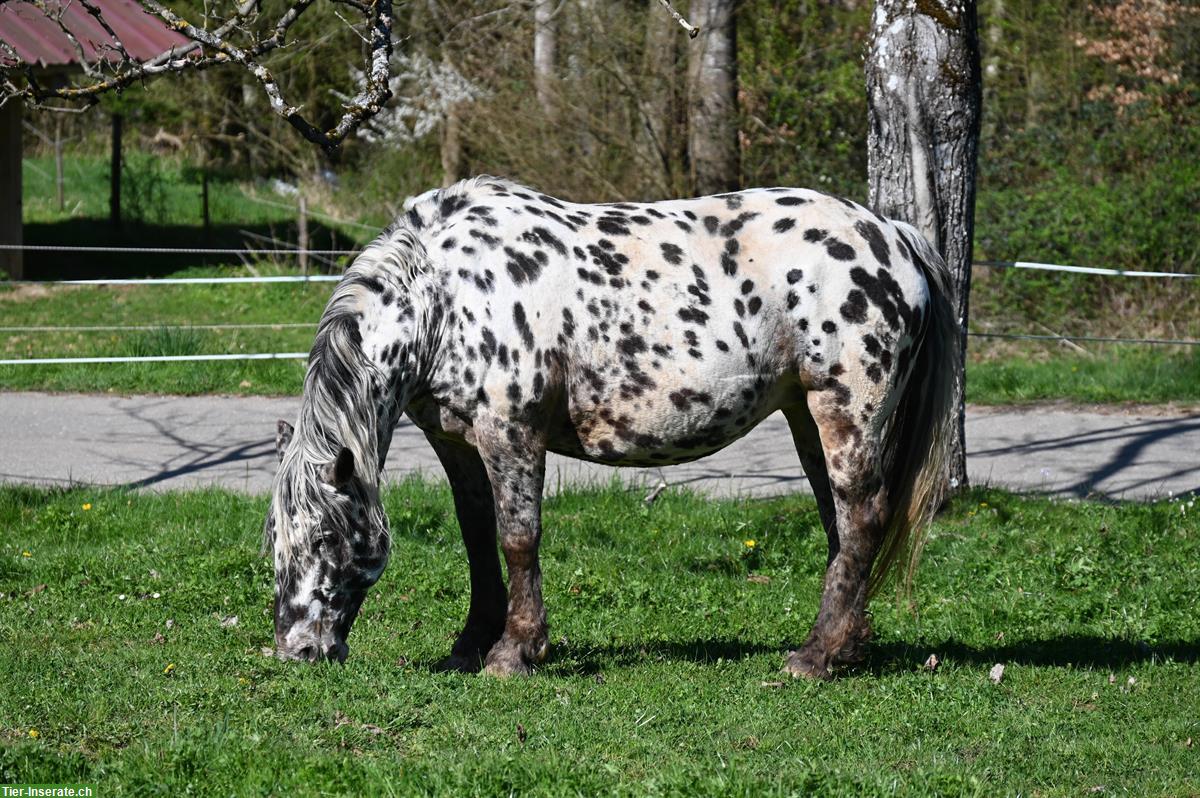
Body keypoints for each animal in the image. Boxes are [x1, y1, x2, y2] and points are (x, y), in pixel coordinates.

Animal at [265, 176, 955, 676]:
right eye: (276, 539)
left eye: (325, 538)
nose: (298, 651)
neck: (445, 297)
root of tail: (892, 235)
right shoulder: (456, 443)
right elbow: (476, 537)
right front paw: (470, 645)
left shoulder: (510, 434)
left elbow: (518, 539)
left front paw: (515, 652)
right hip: (807, 418)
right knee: (842, 522)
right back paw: (846, 645)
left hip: (845, 411)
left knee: (861, 516)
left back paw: (815, 658)